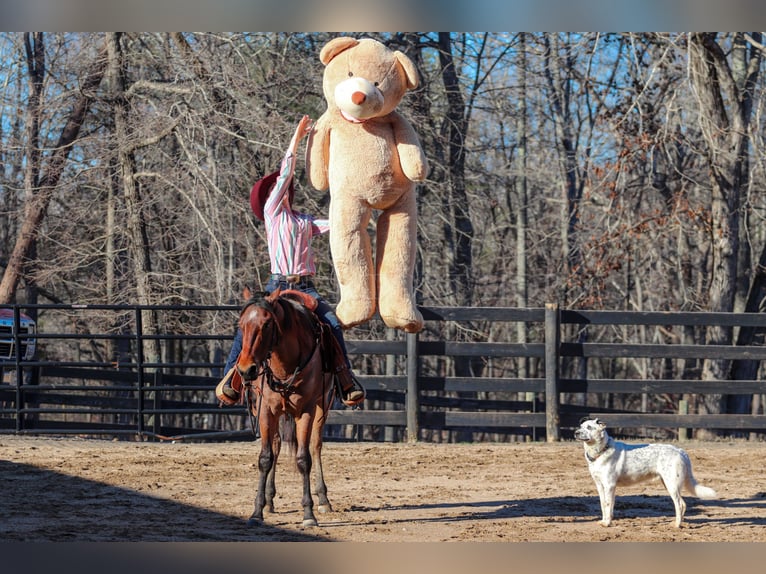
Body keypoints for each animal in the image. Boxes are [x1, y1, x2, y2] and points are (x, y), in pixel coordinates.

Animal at [237, 286, 336, 528]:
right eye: (241, 325)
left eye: (266, 324)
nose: (246, 370)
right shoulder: (265, 409)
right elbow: (265, 457)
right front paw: (257, 511)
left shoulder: (306, 410)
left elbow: (303, 459)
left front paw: (308, 514)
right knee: (276, 445)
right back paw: (269, 501)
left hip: (323, 405)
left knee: (315, 445)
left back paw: (323, 500)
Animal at [576, 416, 720, 528]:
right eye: (581, 426)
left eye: (589, 427)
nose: (576, 433)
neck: (601, 451)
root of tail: (680, 451)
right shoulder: (600, 485)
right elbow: (604, 505)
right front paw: (604, 521)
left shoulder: (609, 485)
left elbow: (607, 504)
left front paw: (607, 523)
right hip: (668, 483)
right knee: (683, 504)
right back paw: (680, 523)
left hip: (672, 485)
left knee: (679, 504)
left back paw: (676, 525)